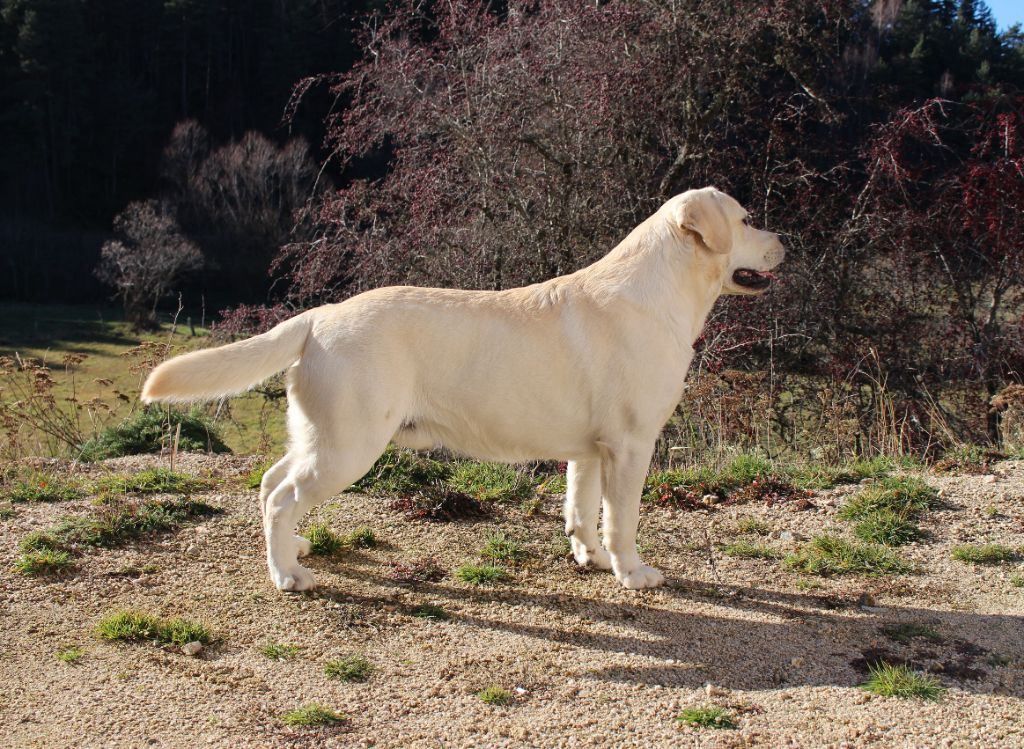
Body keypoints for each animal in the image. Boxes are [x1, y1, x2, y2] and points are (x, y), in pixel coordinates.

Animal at [142, 190, 782, 594]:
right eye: (747, 218)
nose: (786, 241)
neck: (661, 291)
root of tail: (317, 316)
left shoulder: (589, 450)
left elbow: (581, 510)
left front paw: (591, 559)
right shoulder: (630, 444)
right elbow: (621, 518)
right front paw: (633, 572)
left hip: (319, 434)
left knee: (272, 483)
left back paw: (291, 550)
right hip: (349, 445)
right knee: (281, 496)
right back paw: (288, 578)